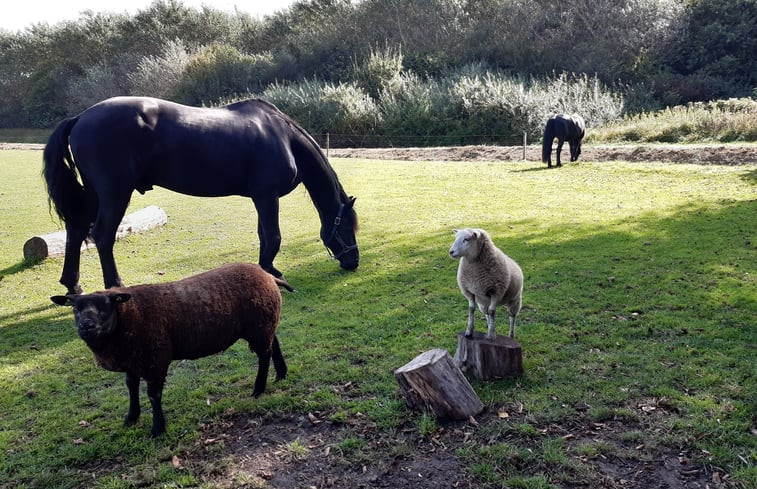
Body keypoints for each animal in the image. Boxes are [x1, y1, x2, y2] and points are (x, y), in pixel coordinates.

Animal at [42, 96, 358, 294]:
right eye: (345, 227)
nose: (353, 262)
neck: (283, 137)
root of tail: (80, 117)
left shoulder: (260, 198)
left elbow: (264, 237)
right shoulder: (267, 196)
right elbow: (274, 237)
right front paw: (273, 273)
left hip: (95, 194)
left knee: (77, 229)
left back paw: (72, 285)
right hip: (114, 194)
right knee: (103, 235)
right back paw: (115, 285)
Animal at [50, 264, 290, 434]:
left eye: (107, 306)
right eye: (75, 309)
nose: (86, 326)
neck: (127, 317)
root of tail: (268, 276)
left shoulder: (156, 359)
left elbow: (153, 395)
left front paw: (158, 428)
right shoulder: (132, 361)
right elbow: (131, 388)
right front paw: (131, 418)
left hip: (260, 325)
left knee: (264, 355)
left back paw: (259, 389)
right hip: (264, 324)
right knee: (275, 343)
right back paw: (281, 374)